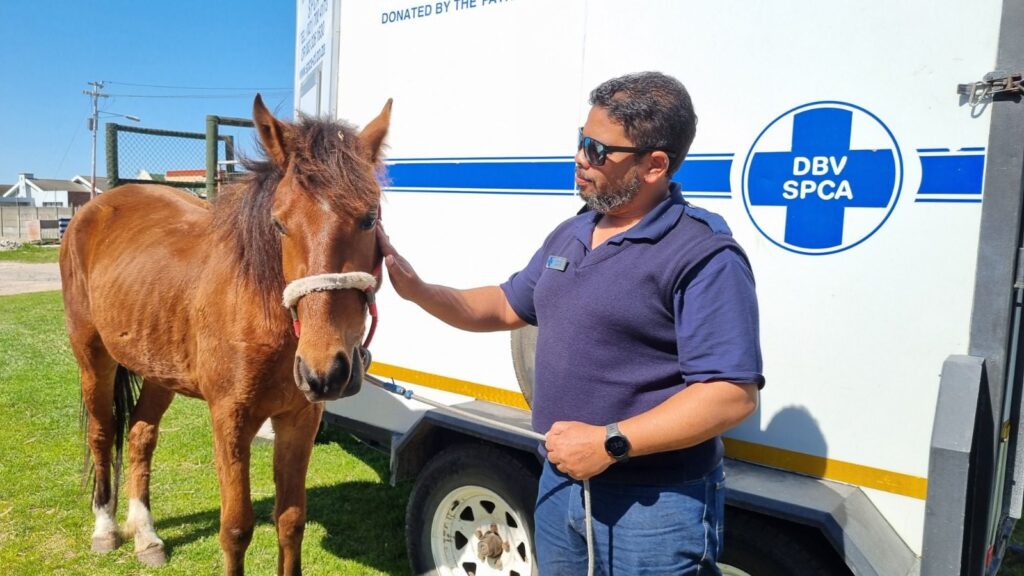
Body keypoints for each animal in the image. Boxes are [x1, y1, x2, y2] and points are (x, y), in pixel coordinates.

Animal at [59, 94, 392, 575]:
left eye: (369, 218)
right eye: (279, 223)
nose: (326, 371)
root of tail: (96, 207)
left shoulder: (300, 419)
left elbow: (291, 520)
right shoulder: (230, 420)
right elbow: (236, 529)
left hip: (159, 368)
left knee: (140, 435)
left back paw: (146, 536)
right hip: (92, 356)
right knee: (103, 433)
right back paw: (105, 529)